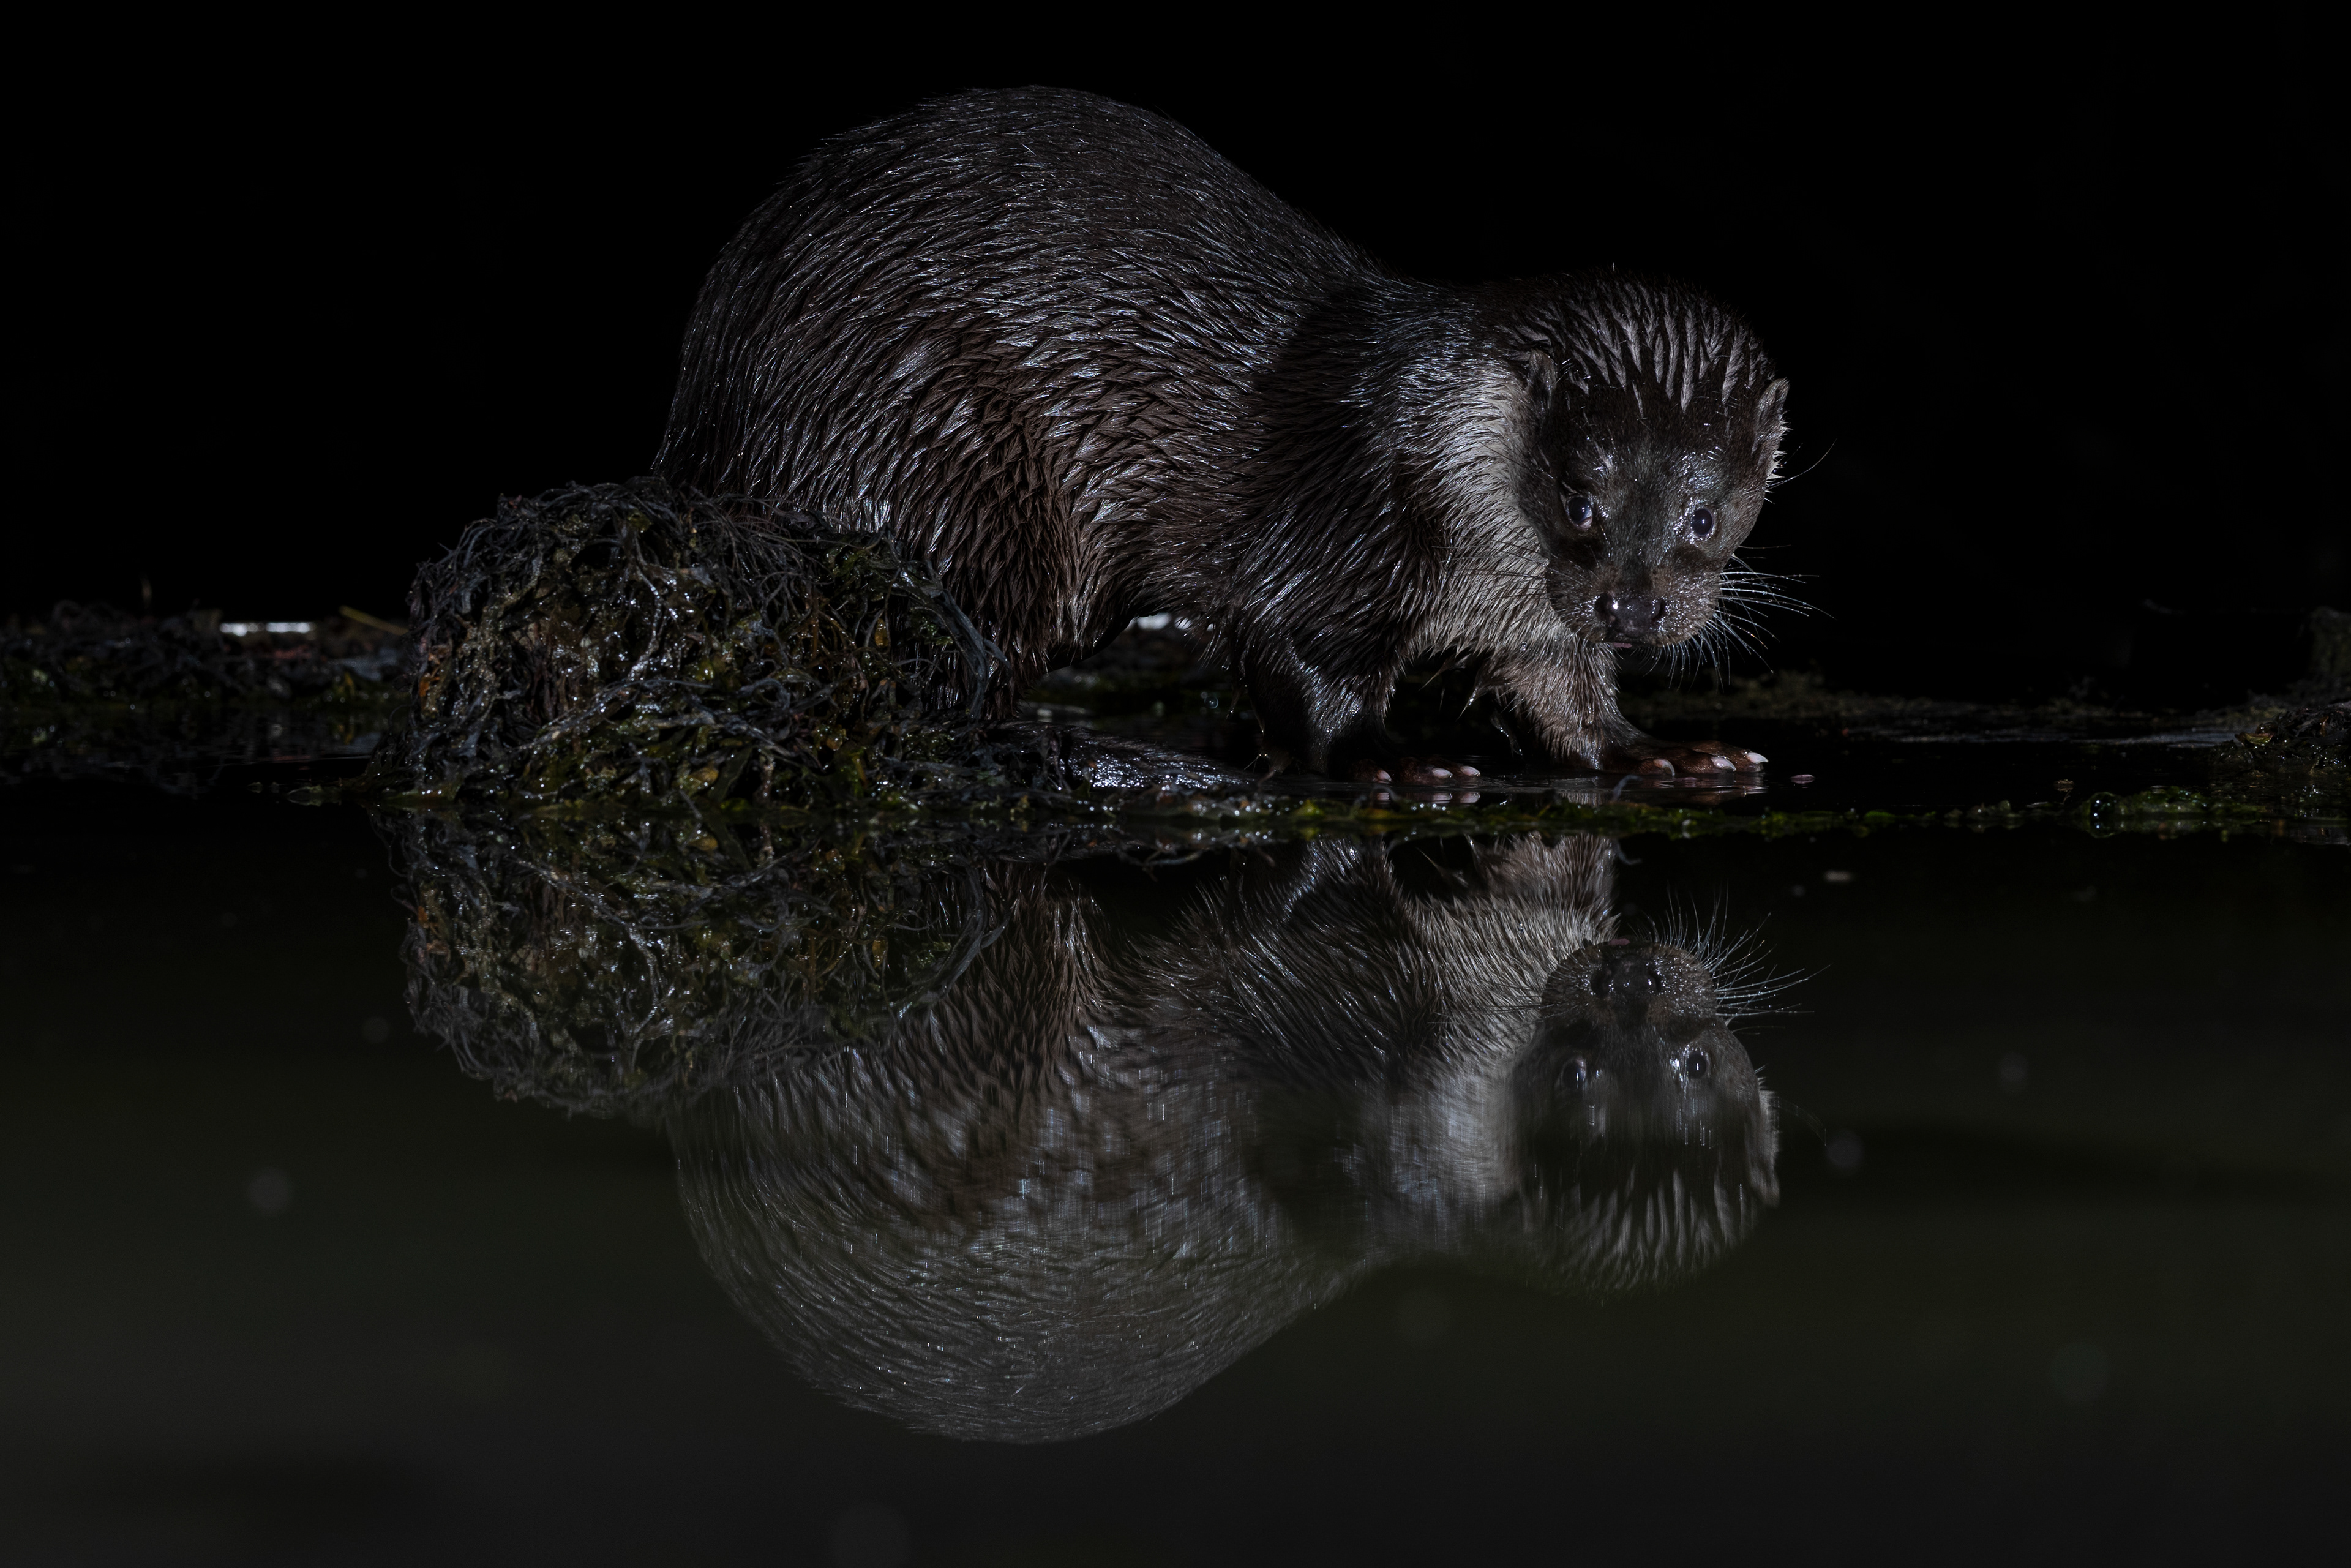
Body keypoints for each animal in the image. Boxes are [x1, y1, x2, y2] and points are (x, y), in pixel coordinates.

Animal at [655, 88, 1789, 782]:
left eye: (1704, 514)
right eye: (1579, 495)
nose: (1633, 608)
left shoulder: (1535, 622)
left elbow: (1566, 696)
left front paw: (1660, 751)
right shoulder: (1327, 528)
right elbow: (1298, 654)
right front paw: (1390, 758)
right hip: (944, 451)